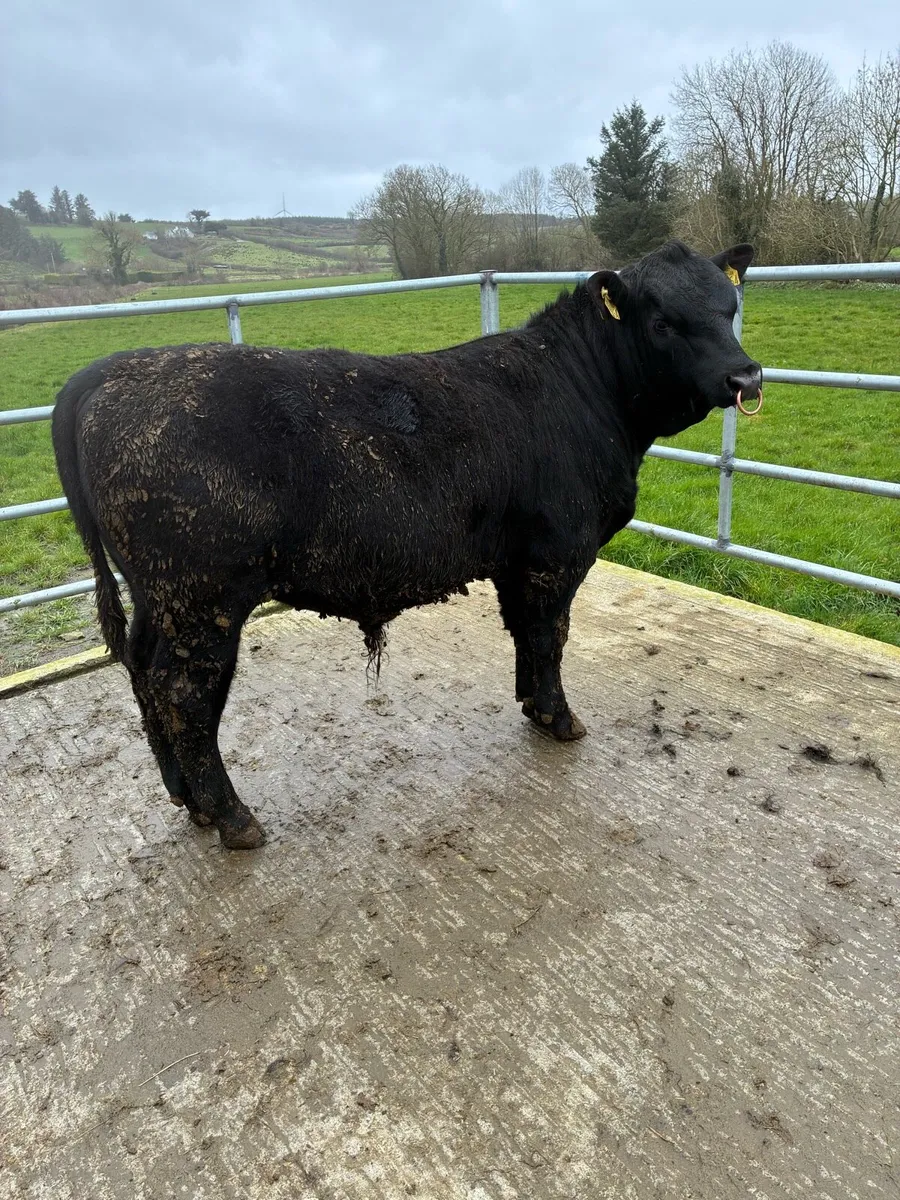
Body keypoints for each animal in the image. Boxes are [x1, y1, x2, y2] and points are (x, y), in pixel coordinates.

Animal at [52, 240, 762, 850]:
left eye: (730, 308)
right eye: (663, 323)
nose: (746, 377)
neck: (584, 393)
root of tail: (110, 371)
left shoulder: (518, 560)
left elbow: (526, 635)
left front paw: (533, 708)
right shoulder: (557, 554)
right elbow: (549, 636)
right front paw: (561, 721)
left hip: (160, 597)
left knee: (143, 672)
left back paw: (187, 799)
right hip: (202, 597)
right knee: (184, 693)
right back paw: (231, 817)